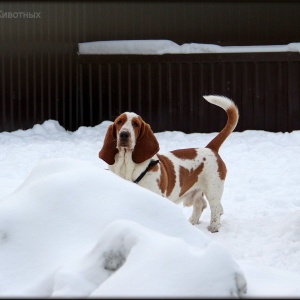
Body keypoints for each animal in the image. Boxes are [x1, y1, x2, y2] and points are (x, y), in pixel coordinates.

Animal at [98, 95, 239, 232]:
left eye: (136, 124)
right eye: (119, 122)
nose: (124, 134)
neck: (127, 166)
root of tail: (210, 148)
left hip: (213, 190)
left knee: (216, 208)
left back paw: (213, 227)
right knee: (200, 205)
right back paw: (191, 223)